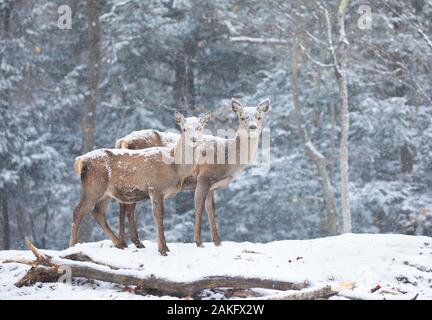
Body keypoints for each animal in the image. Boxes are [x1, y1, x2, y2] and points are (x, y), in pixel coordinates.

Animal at [69, 111, 211, 256]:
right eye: (184, 129)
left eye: (199, 127)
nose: (193, 139)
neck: (175, 167)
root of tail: (79, 161)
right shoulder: (155, 187)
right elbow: (158, 216)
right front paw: (162, 250)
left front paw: (166, 248)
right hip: (94, 185)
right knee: (78, 211)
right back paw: (72, 246)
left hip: (106, 191)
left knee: (98, 212)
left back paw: (119, 243)